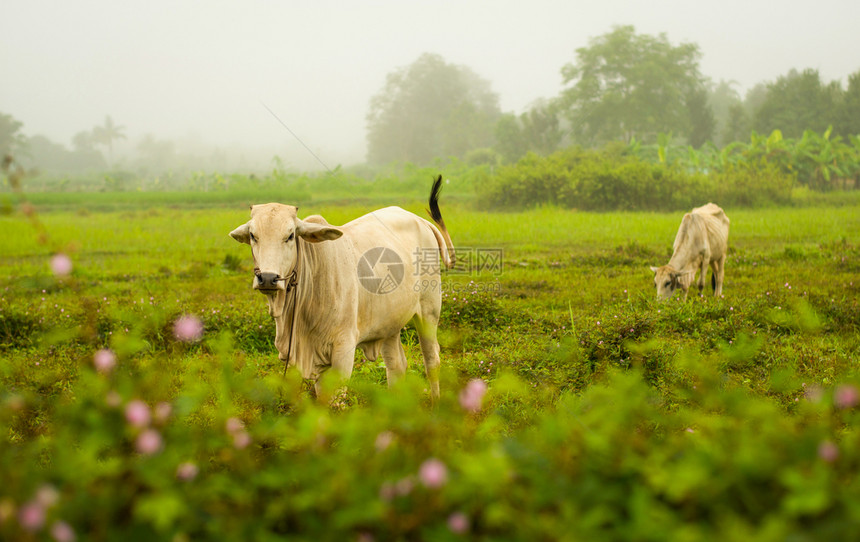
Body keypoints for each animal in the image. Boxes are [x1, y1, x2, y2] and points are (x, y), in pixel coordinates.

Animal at [228, 175, 456, 400]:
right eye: (253, 236)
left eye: (290, 235)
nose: (267, 278)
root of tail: (421, 221)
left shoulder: (343, 350)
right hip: (390, 322)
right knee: (396, 366)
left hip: (429, 311)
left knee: (432, 360)